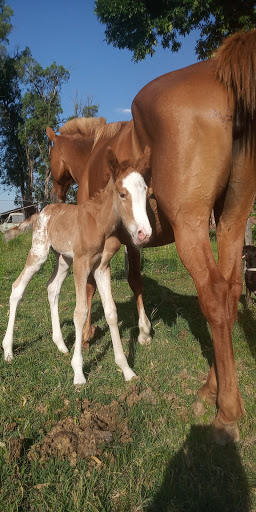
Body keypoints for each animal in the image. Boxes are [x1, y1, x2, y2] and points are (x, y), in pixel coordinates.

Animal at [47, 30, 256, 442]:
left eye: (49, 156)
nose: (53, 190)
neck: (95, 155)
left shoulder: (98, 242)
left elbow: (92, 289)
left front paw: (87, 334)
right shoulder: (131, 239)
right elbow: (136, 278)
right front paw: (143, 331)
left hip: (193, 227)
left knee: (215, 296)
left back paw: (227, 410)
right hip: (232, 220)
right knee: (231, 290)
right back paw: (213, 386)